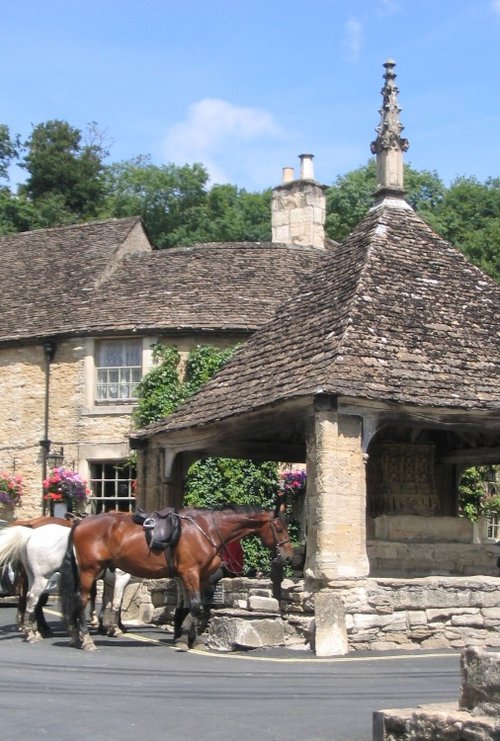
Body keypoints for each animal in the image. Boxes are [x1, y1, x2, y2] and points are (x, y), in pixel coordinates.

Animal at [0, 524, 132, 640]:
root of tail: (31, 533)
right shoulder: (121, 577)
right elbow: (117, 603)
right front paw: (116, 628)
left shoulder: (110, 581)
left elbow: (108, 601)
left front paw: (106, 626)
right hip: (42, 577)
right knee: (34, 599)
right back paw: (37, 631)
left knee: (32, 600)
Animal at [59, 506, 292, 652]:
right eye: (279, 528)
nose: (289, 556)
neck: (207, 531)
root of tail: (79, 524)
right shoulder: (190, 573)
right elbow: (195, 607)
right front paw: (183, 639)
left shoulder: (200, 577)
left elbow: (195, 607)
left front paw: (192, 640)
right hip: (89, 570)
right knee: (81, 601)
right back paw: (86, 640)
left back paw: (76, 638)